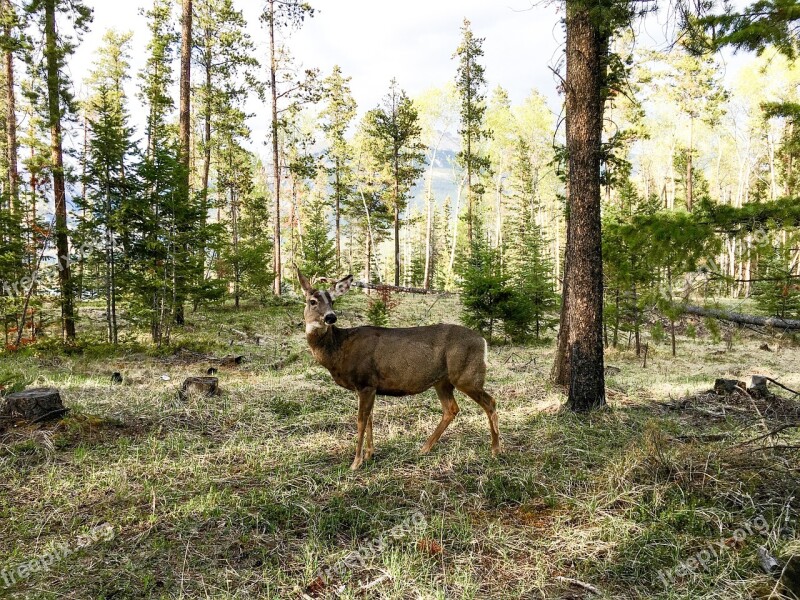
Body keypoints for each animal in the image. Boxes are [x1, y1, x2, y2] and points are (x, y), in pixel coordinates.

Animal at [296, 270, 504, 472]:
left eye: (333, 301)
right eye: (312, 301)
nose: (330, 317)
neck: (339, 350)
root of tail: (483, 341)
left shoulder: (365, 382)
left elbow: (361, 421)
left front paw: (356, 462)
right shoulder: (370, 386)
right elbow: (370, 419)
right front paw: (369, 454)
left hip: (466, 376)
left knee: (490, 402)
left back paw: (495, 450)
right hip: (442, 381)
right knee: (451, 409)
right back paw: (424, 448)